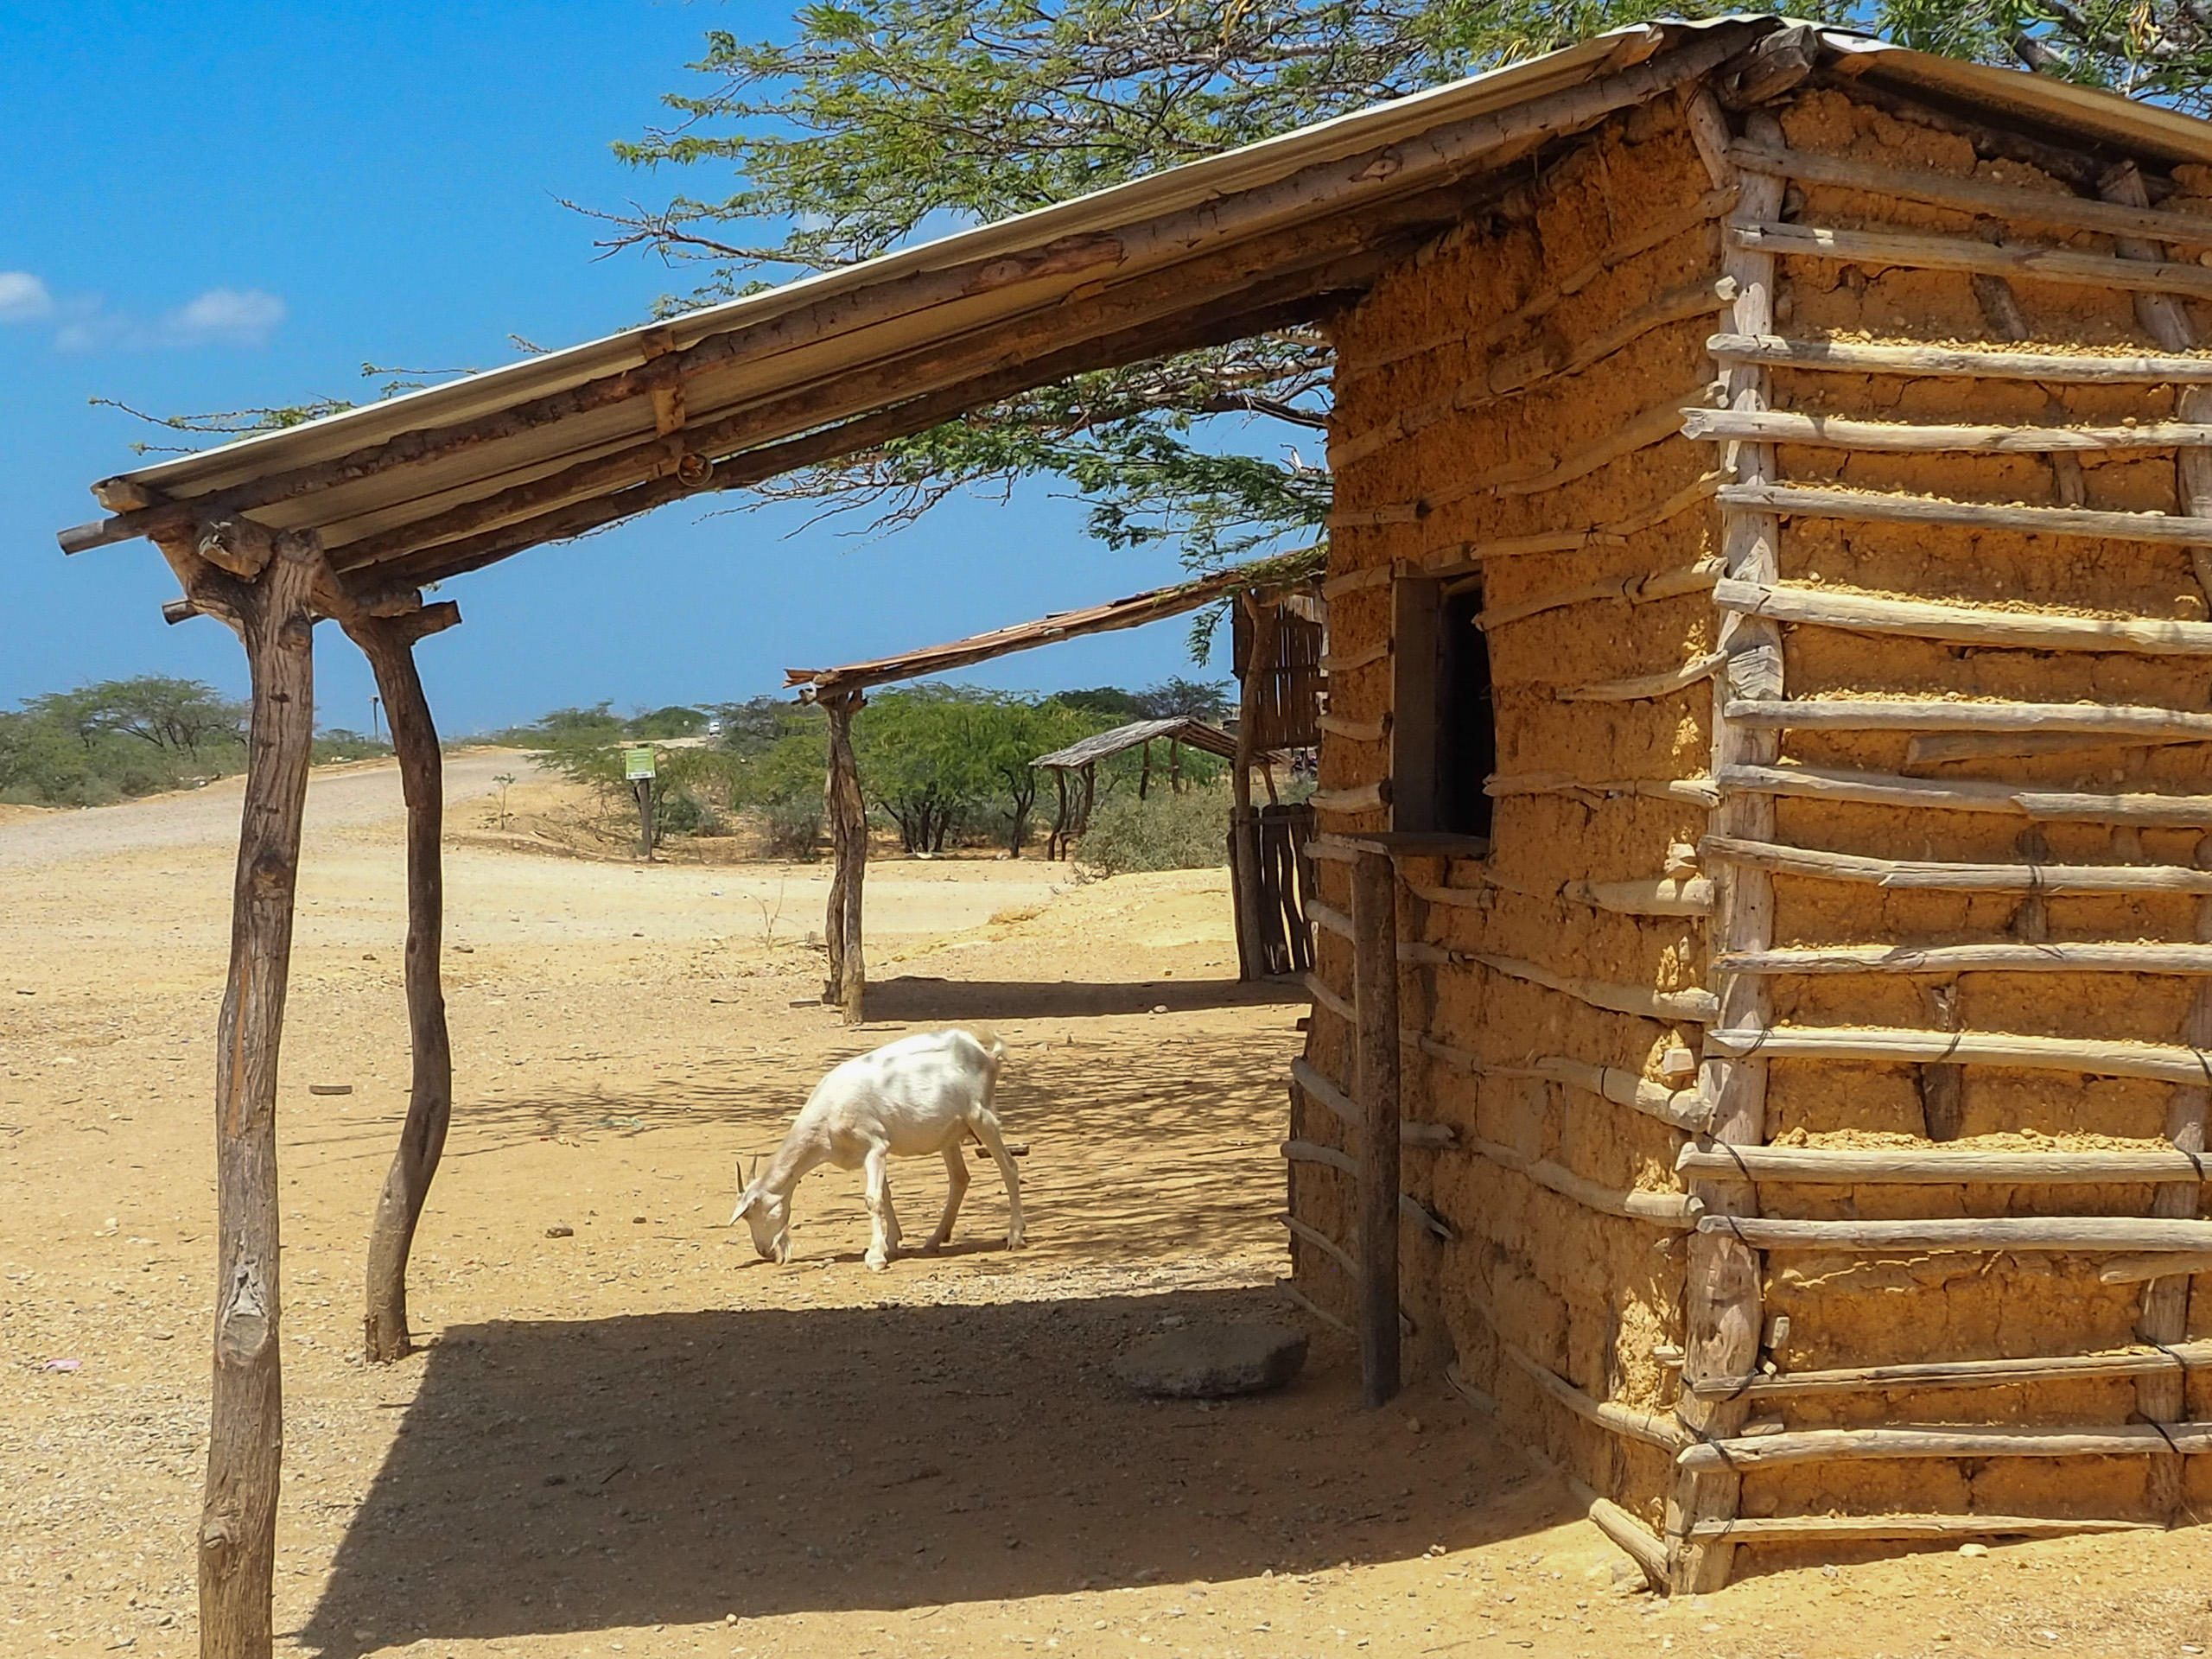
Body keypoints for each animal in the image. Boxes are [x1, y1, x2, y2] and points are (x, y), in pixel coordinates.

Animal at [730, 1027, 1024, 1271]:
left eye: (755, 1212)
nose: (766, 1252)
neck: (827, 1116)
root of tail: (986, 1053)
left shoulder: (875, 1145)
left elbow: (872, 1199)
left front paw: (875, 1257)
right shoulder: (870, 1153)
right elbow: (885, 1195)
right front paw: (891, 1243)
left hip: (981, 1117)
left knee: (1009, 1167)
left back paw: (1015, 1237)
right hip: (950, 1135)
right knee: (960, 1178)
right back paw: (934, 1239)